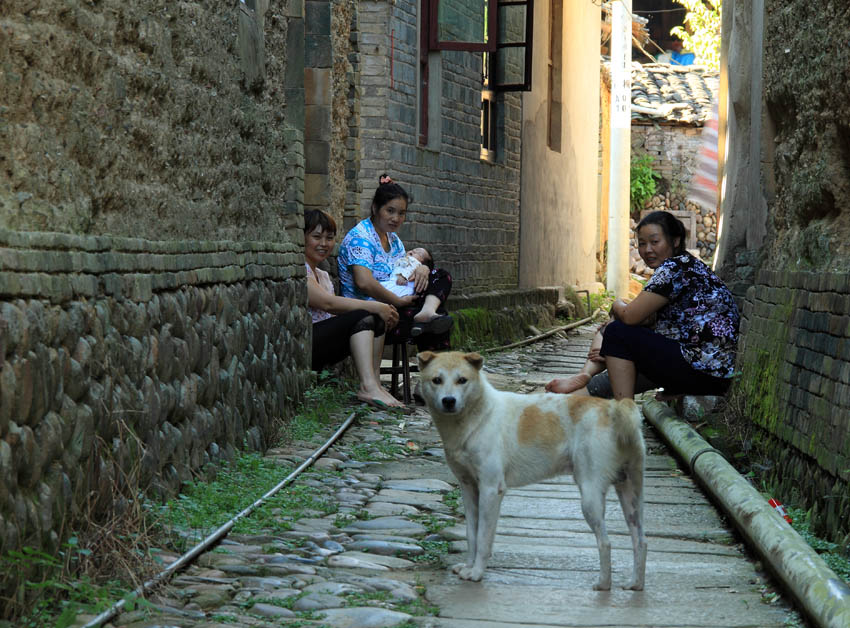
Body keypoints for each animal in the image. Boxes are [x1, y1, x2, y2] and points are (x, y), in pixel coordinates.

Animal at [414, 350, 644, 592]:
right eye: (437, 380)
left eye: (462, 380)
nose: (449, 401)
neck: (478, 416)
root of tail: (613, 408)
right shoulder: (469, 489)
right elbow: (472, 535)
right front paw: (468, 566)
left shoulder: (491, 490)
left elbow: (484, 538)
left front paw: (476, 573)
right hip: (631, 496)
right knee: (641, 541)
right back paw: (635, 584)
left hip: (590, 496)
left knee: (606, 543)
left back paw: (603, 584)